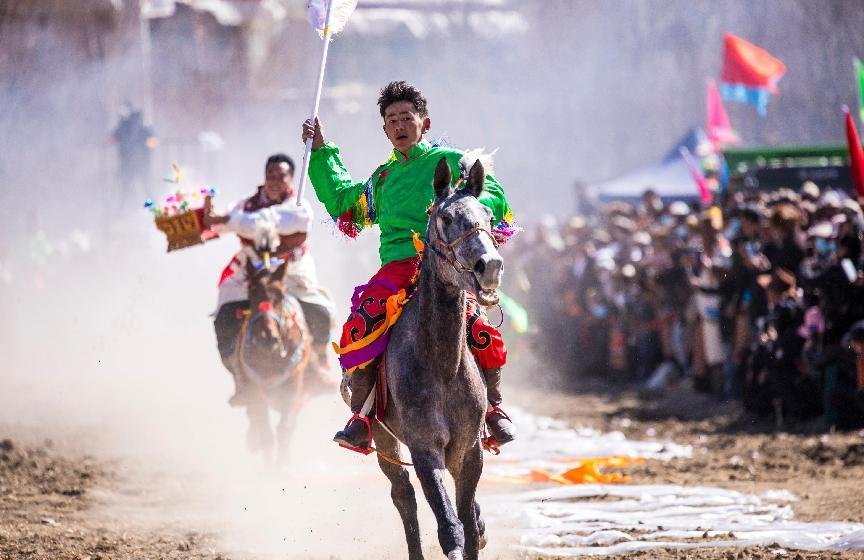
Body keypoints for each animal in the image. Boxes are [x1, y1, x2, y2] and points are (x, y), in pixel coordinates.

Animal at [235, 248, 311, 464]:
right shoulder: (253, 388)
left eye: (280, 294)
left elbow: (285, 427)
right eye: (251, 293)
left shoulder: (294, 384)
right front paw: (270, 468)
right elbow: (265, 431)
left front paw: (282, 466)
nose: (267, 339)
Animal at [371, 157, 504, 560]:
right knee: (403, 496)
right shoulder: (425, 448)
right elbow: (450, 526)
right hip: (383, 440)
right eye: (445, 218)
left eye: (489, 216)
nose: (491, 265)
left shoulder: (468, 450)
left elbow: (469, 523)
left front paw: (479, 527)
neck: (441, 367)